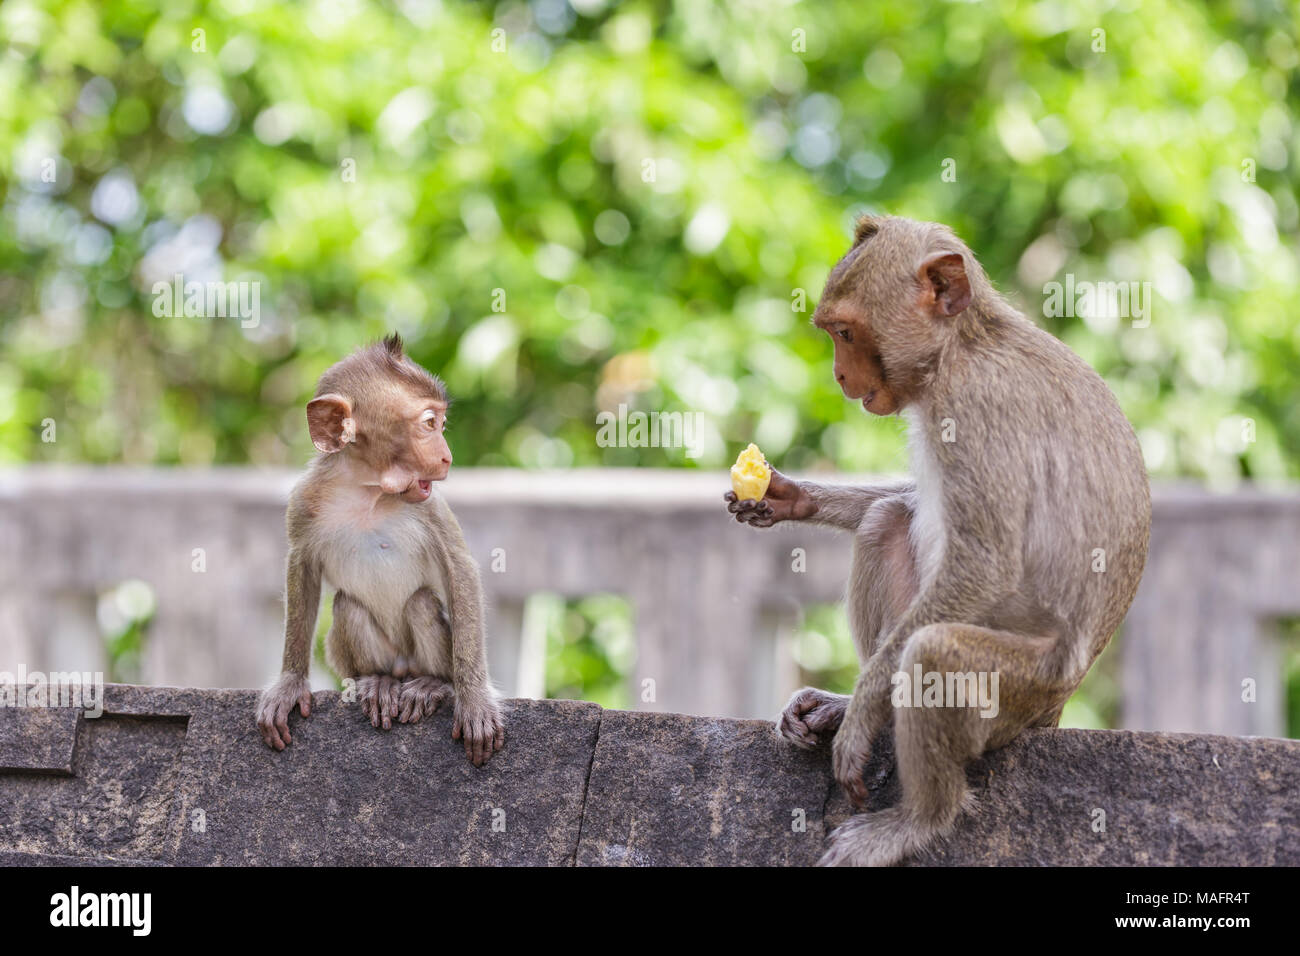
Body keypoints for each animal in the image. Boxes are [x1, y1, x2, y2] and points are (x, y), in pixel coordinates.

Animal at [256, 332, 504, 764]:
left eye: (441, 423)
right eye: (428, 424)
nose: (447, 456)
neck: (367, 491)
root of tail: (403, 667)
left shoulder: (430, 506)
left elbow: (459, 570)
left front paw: (474, 699)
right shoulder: (304, 501)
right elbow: (301, 568)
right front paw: (290, 683)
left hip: (420, 656)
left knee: (421, 602)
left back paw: (432, 685)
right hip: (353, 658)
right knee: (347, 605)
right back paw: (377, 682)